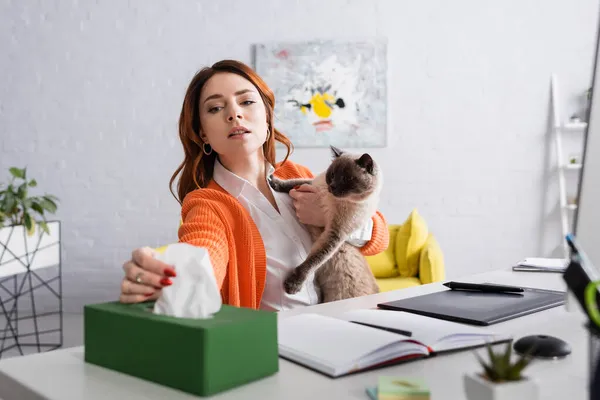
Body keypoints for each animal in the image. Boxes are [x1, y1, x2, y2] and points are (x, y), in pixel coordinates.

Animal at [270, 145, 382, 302]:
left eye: (347, 178)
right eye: (333, 175)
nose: (333, 187)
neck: (329, 198)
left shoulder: (334, 234)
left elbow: (313, 260)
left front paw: (293, 285)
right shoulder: (311, 184)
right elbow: (293, 182)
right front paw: (273, 181)